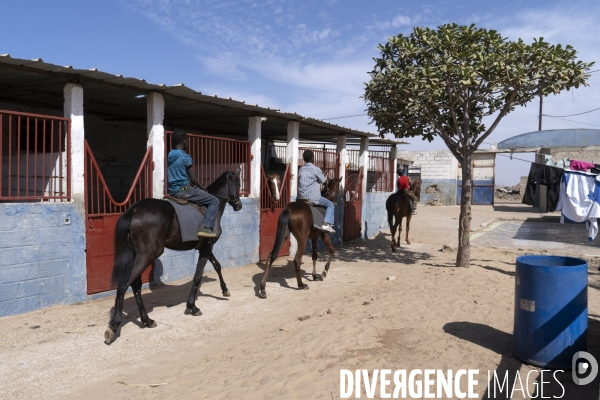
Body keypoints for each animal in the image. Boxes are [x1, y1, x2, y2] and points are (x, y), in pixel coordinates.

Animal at [104, 169, 243, 344]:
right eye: (237, 183)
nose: (239, 205)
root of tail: (134, 210)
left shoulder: (205, 247)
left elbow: (217, 265)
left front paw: (225, 290)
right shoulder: (206, 248)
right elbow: (198, 276)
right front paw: (192, 307)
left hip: (140, 255)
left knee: (135, 286)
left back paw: (147, 320)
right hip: (147, 255)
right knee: (124, 285)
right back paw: (114, 326)